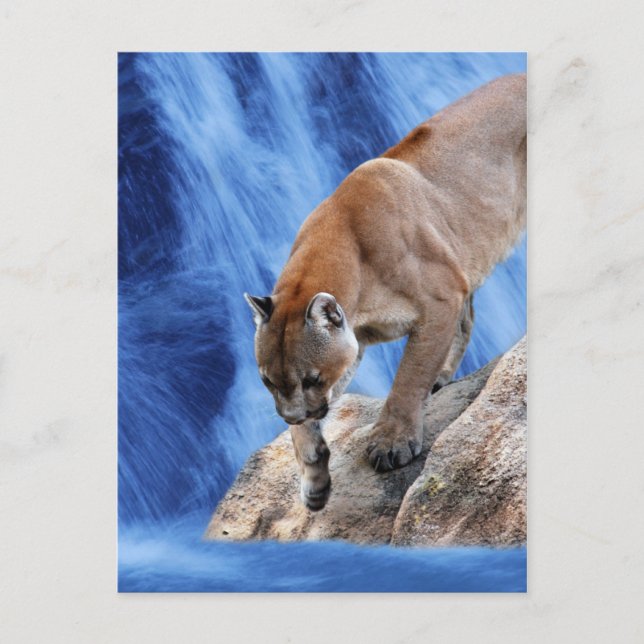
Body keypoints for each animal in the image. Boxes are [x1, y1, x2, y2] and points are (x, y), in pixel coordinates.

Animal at [244, 73, 526, 510]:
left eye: (311, 378)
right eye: (268, 382)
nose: (290, 416)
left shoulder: (440, 297)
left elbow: (409, 374)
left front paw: (392, 441)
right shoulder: (360, 340)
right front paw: (313, 476)